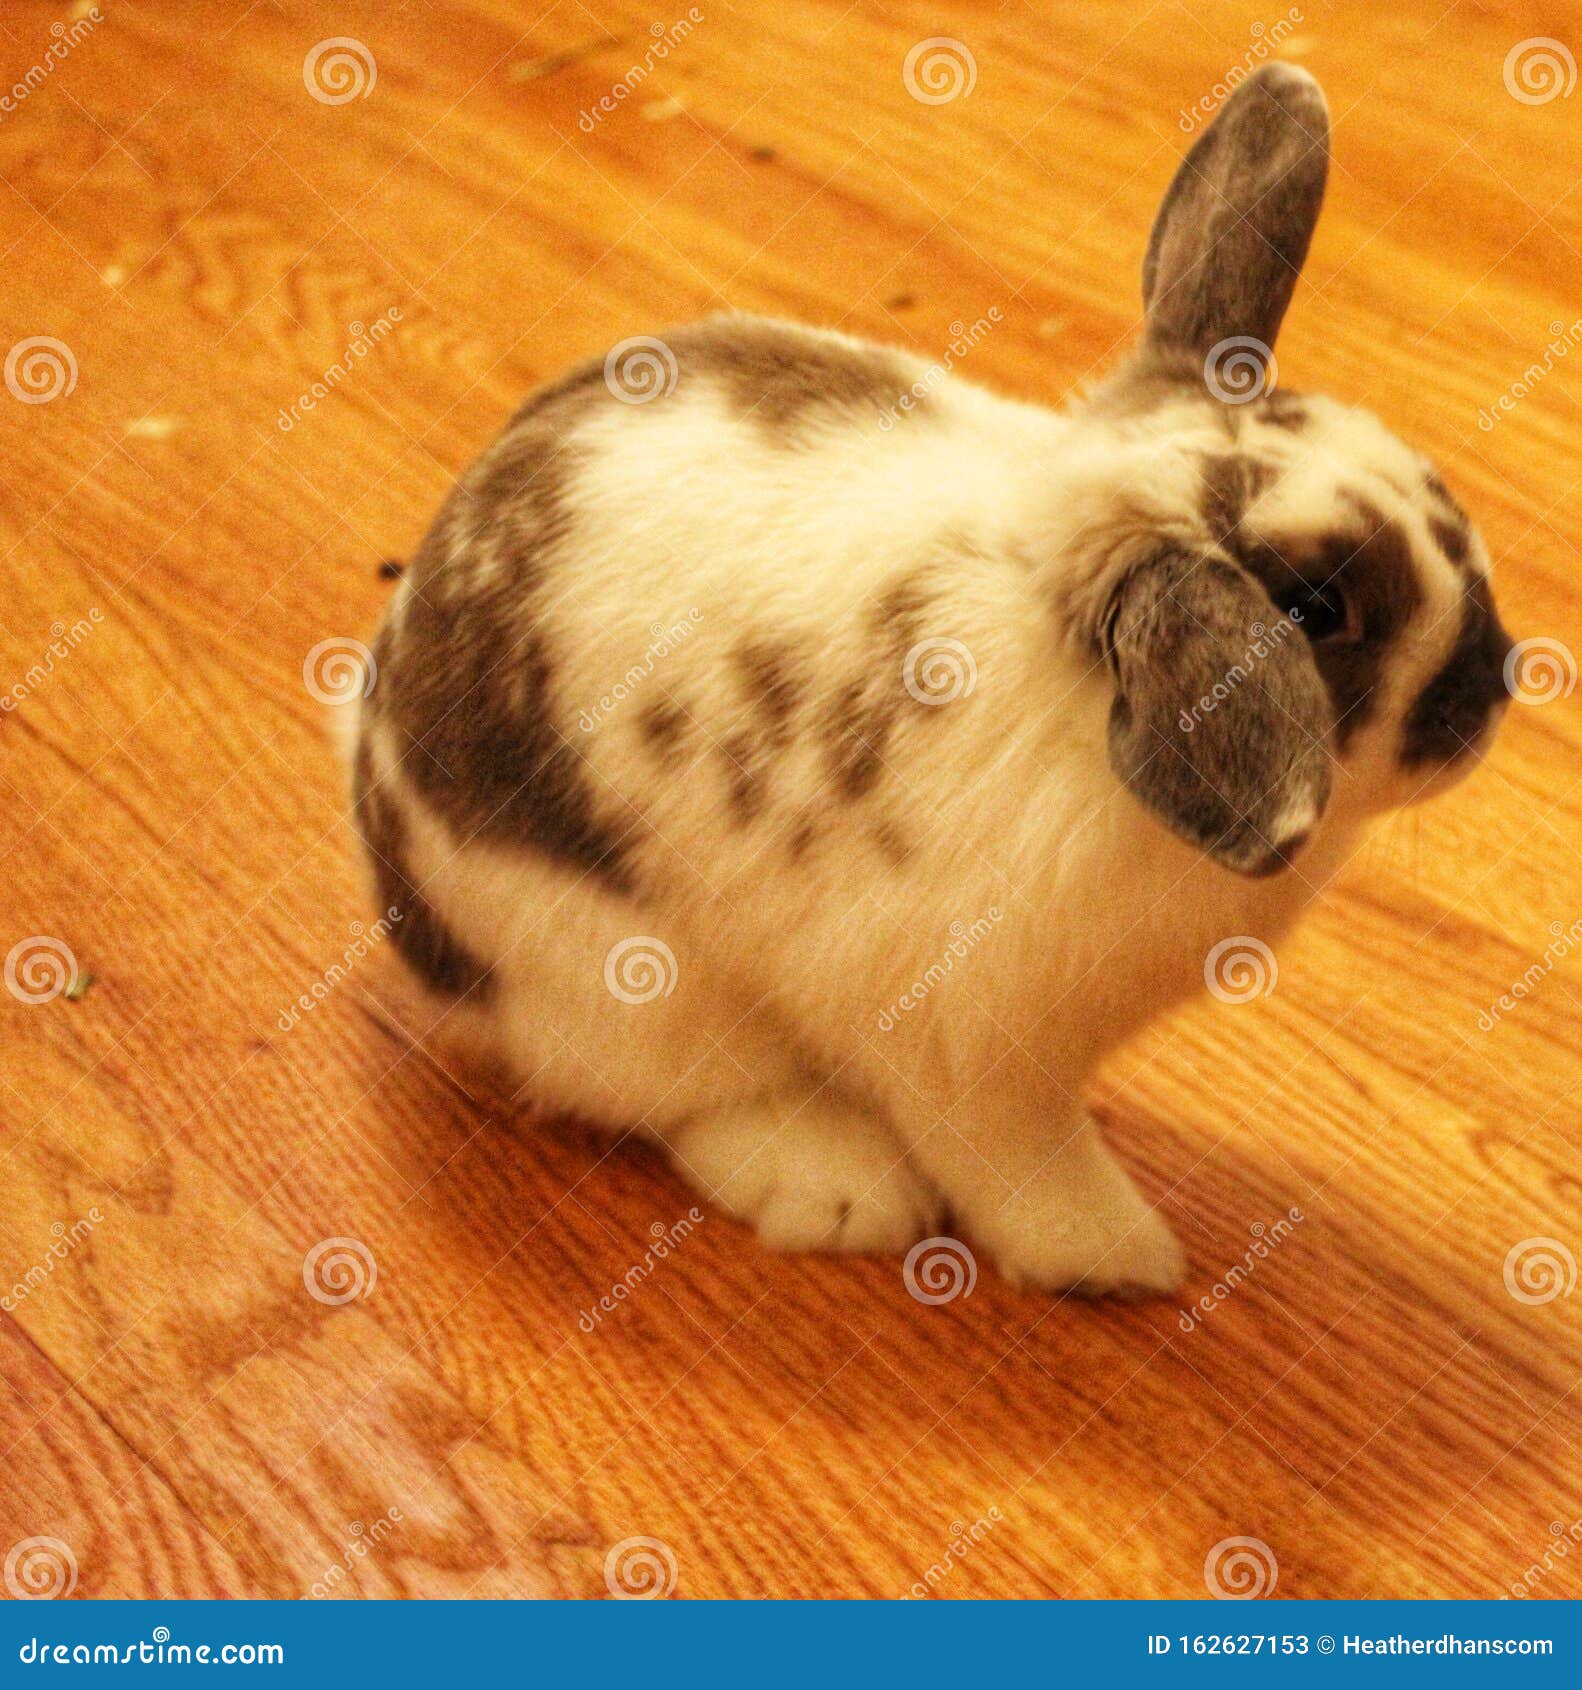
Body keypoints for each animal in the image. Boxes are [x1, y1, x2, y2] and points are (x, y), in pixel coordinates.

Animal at [346, 63, 1511, 1296]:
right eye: (1315, 610)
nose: (1493, 691)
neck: (1076, 679)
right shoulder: (972, 1045)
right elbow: (1021, 1157)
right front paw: (1119, 1257)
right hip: (632, 981)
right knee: (676, 1094)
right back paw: (845, 1191)